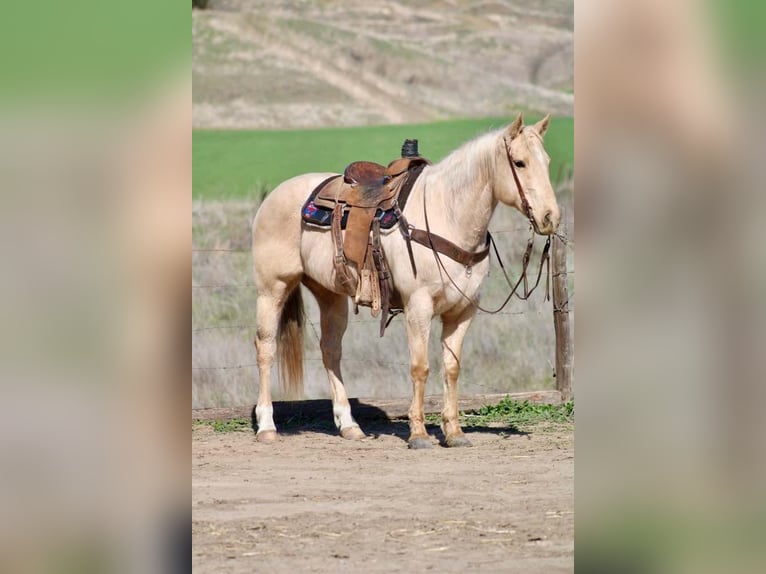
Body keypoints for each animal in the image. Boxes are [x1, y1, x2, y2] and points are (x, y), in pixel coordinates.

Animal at [255, 115, 560, 450]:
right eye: (519, 162)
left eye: (546, 161)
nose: (550, 217)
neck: (447, 215)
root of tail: (274, 196)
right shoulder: (419, 307)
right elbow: (420, 367)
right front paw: (419, 434)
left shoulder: (463, 312)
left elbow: (451, 368)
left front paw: (454, 432)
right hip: (272, 289)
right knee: (266, 348)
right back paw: (266, 426)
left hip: (329, 294)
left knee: (330, 350)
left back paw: (349, 425)